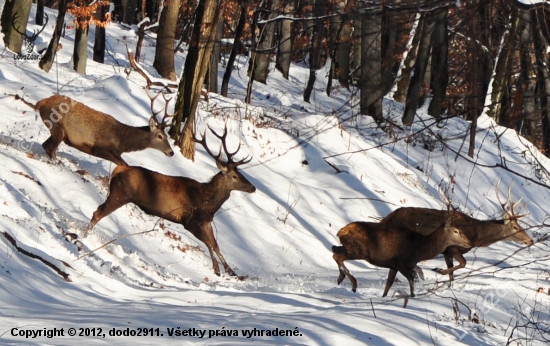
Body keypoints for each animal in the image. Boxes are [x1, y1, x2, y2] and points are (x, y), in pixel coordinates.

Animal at [16, 90, 175, 166]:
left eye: (167, 136)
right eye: (160, 136)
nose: (171, 152)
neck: (121, 141)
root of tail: (40, 103)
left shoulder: (116, 152)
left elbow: (125, 163)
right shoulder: (99, 148)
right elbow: (123, 164)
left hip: (58, 130)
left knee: (46, 145)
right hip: (57, 127)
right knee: (50, 148)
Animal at [87, 126, 258, 276]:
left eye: (240, 173)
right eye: (234, 176)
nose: (253, 187)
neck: (207, 204)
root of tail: (117, 170)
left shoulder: (206, 221)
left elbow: (215, 245)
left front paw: (231, 272)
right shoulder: (189, 221)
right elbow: (209, 243)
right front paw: (218, 270)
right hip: (120, 194)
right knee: (98, 213)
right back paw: (86, 236)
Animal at [332, 218, 470, 296]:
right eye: (456, 231)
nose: (468, 242)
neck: (420, 250)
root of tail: (340, 232)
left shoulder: (394, 266)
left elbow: (389, 284)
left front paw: (384, 297)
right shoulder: (398, 262)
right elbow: (411, 279)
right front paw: (412, 296)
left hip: (352, 248)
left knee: (334, 249)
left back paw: (341, 278)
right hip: (359, 250)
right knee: (337, 255)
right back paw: (353, 284)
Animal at [380, 184, 536, 282]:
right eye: (515, 227)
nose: (530, 240)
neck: (476, 235)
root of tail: (385, 219)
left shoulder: (446, 252)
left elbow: (452, 273)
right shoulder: (452, 247)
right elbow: (463, 263)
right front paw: (437, 270)